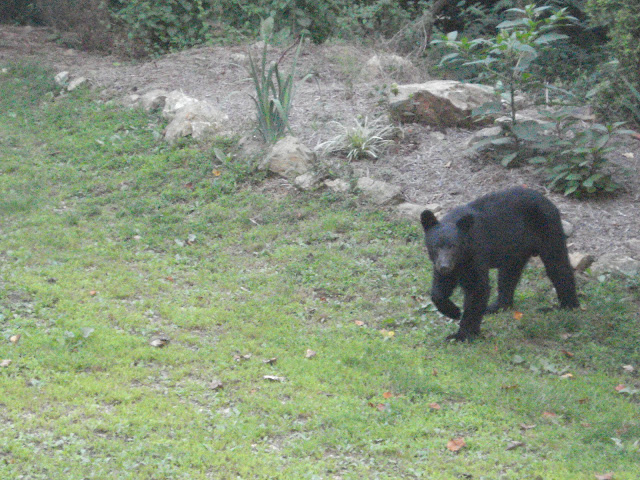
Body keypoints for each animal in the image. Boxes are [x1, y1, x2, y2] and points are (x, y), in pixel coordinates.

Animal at [420, 188, 580, 342]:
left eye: (454, 246)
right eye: (436, 247)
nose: (445, 266)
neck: (461, 258)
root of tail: (550, 202)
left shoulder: (476, 254)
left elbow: (477, 289)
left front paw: (462, 335)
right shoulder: (445, 264)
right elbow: (439, 289)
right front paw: (453, 311)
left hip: (548, 231)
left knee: (558, 267)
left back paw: (565, 307)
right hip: (514, 250)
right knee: (508, 275)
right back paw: (496, 307)